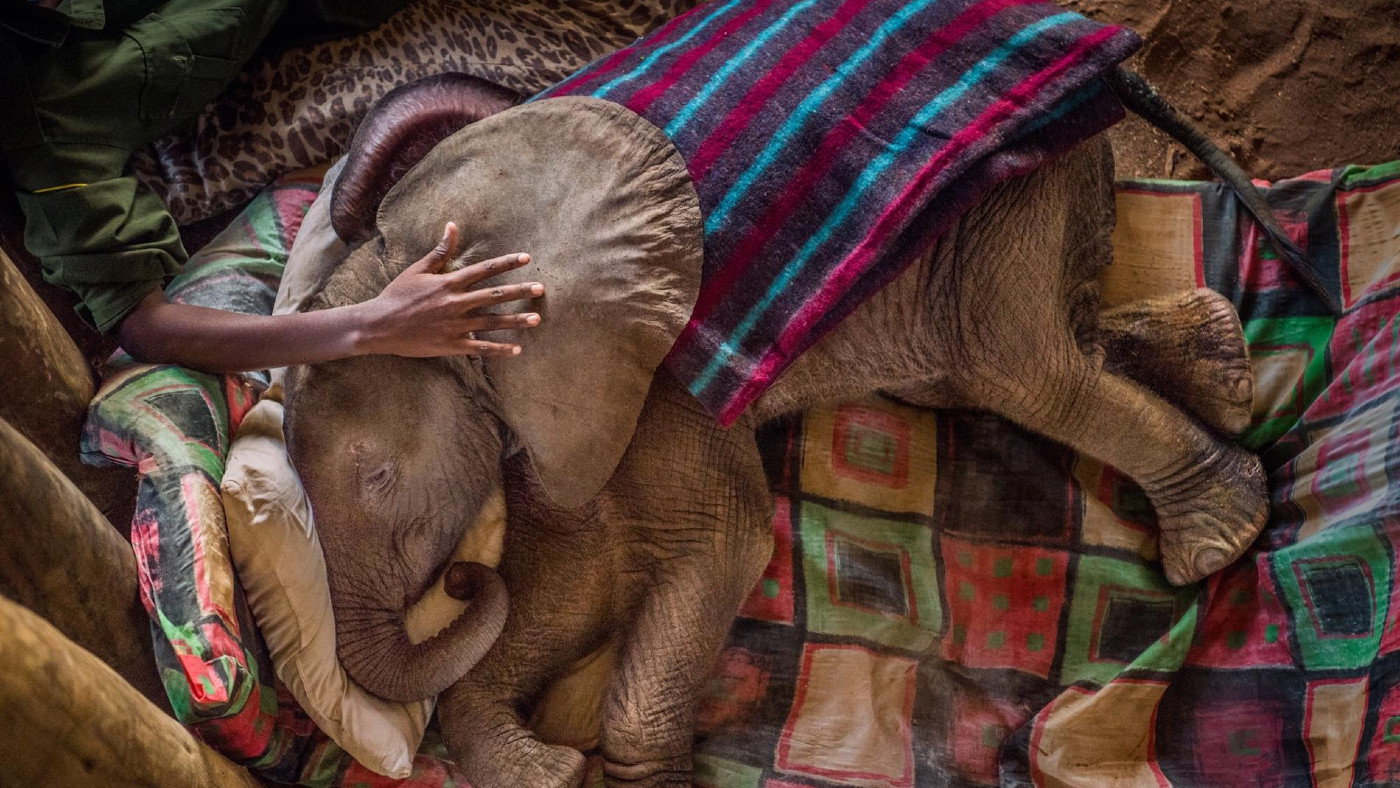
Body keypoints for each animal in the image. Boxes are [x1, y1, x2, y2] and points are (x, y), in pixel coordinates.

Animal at [279, 58, 1282, 784]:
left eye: (378, 479)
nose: (459, 578)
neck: (426, 254)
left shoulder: (652, 371)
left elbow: (720, 541)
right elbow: (572, 576)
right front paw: (546, 772)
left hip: (1009, 191)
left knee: (1025, 370)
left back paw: (1217, 541)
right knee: (986, 364)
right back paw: (1227, 368)